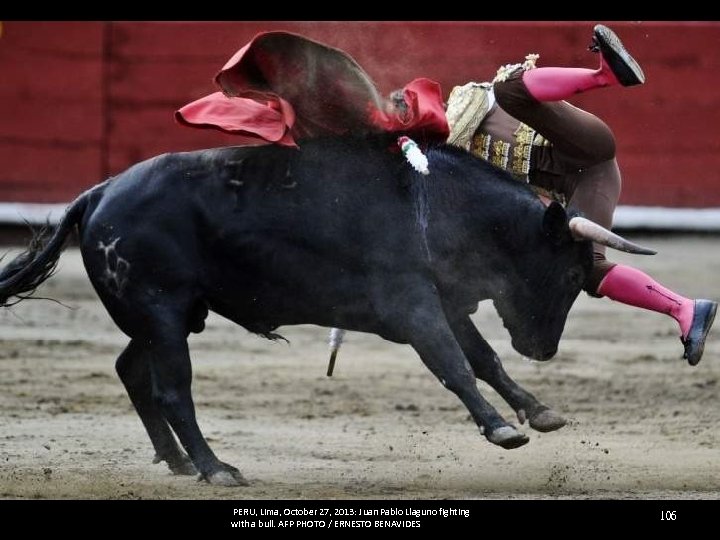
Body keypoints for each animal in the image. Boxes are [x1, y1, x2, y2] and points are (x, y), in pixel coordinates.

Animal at [0, 136, 653, 486]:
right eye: (570, 274)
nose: (543, 350)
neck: (439, 202)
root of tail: (98, 193)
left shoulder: (445, 300)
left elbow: (483, 358)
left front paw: (538, 412)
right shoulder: (412, 305)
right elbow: (453, 365)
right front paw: (500, 428)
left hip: (176, 315)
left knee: (130, 370)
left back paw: (180, 462)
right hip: (162, 313)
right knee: (172, 389)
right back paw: (216, 468)